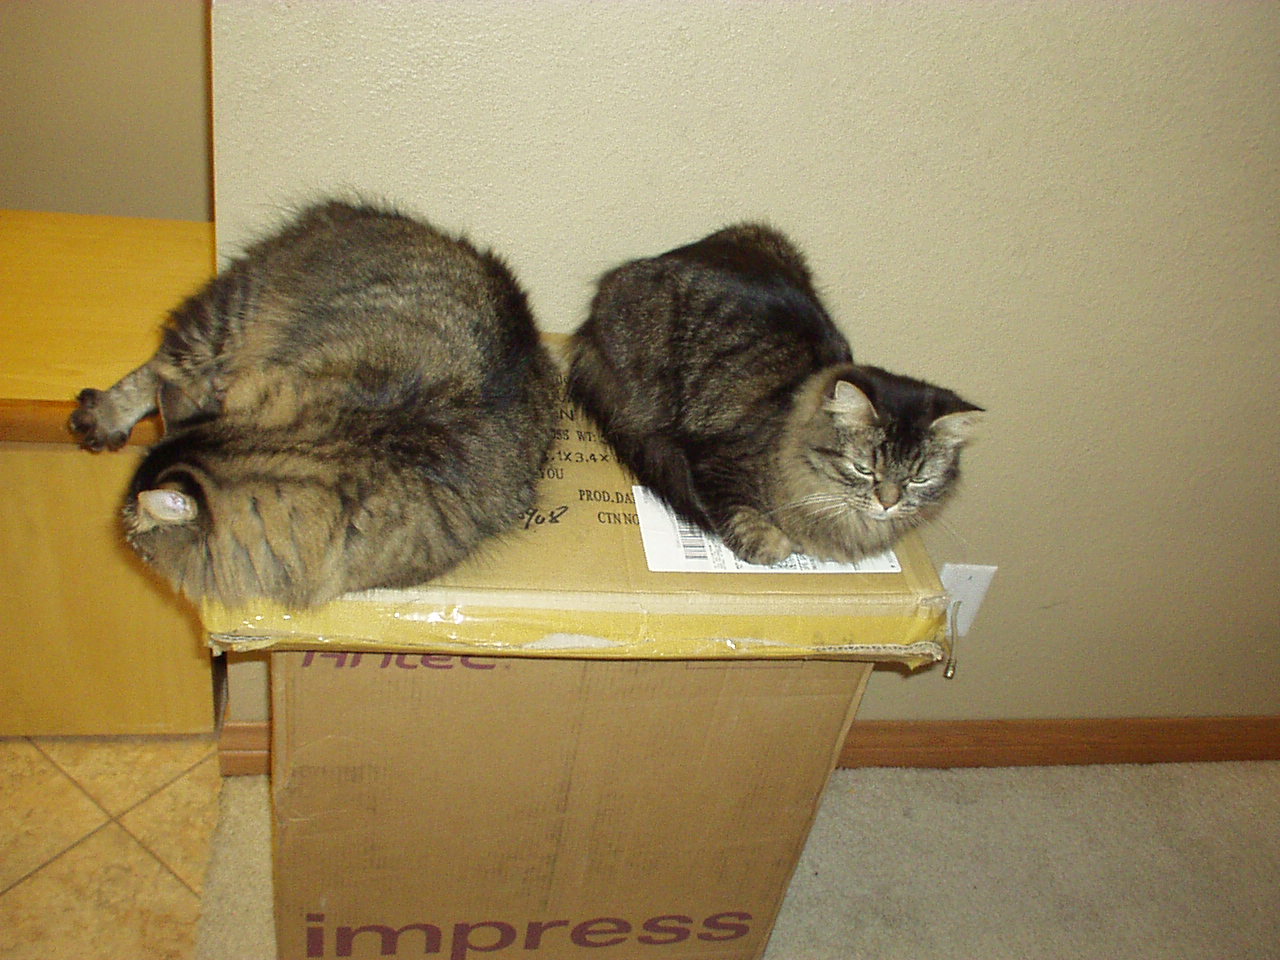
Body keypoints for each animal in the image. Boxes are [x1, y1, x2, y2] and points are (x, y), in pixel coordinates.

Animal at [69, 199, 558, 608]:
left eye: (135, 534)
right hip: (227, 321)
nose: (120, 525)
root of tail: (335, 215)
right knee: (158, 368)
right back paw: (101, 418)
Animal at [567, 222, 982, 566]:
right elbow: (747, 522)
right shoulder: (713, 460)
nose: (888, 502)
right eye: (863, 468)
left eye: (919, 480)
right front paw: (775, 543)